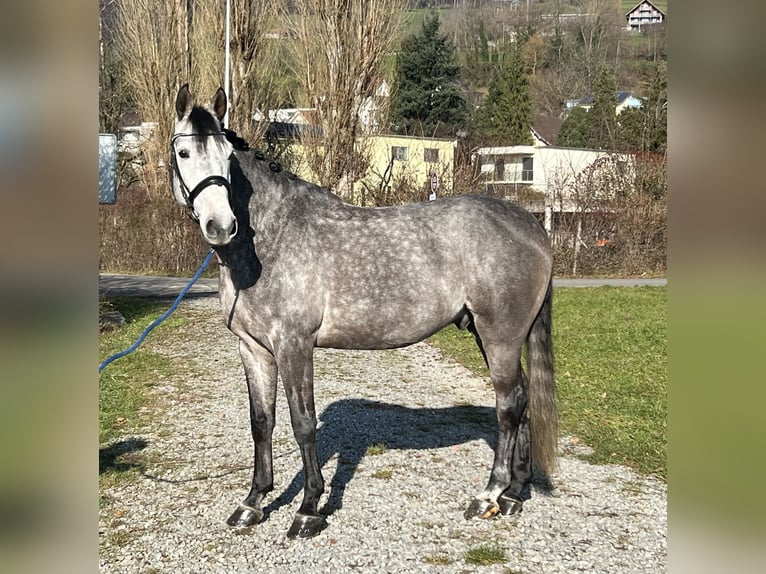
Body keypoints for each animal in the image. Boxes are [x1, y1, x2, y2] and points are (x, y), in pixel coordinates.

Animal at [171, 85, 560, 540]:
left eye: (227, 157)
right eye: (184, 153)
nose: (221, 225)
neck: (269, 239)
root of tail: (531, 226)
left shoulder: (294, 345)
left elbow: (303, 423)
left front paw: (308, 509)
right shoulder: (253, 348)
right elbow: (261, 422)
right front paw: (253, 503)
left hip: (501, 336)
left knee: (509, 405)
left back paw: (489, 495)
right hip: (494, 335)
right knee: (522, 400)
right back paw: (514, 494)